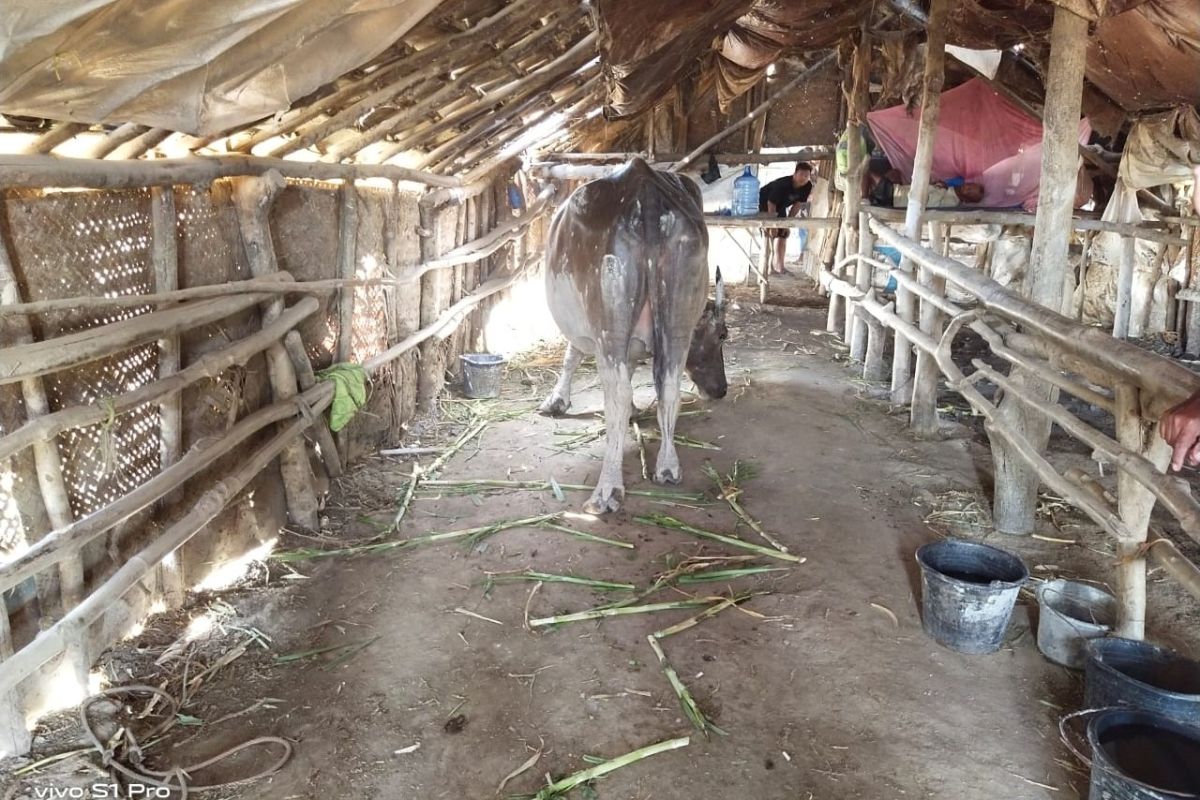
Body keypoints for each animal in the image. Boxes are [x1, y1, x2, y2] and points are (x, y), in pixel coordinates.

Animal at [540, 158, 724, 513]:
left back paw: (607, 491)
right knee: (668, 386)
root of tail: (644, 184)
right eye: (722, 335)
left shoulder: (586, 331)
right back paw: (667, 468)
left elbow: (571, 356)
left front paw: (556, 401)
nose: (721, 390)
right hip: (677, 316)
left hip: (608, 323)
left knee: (618, 396)